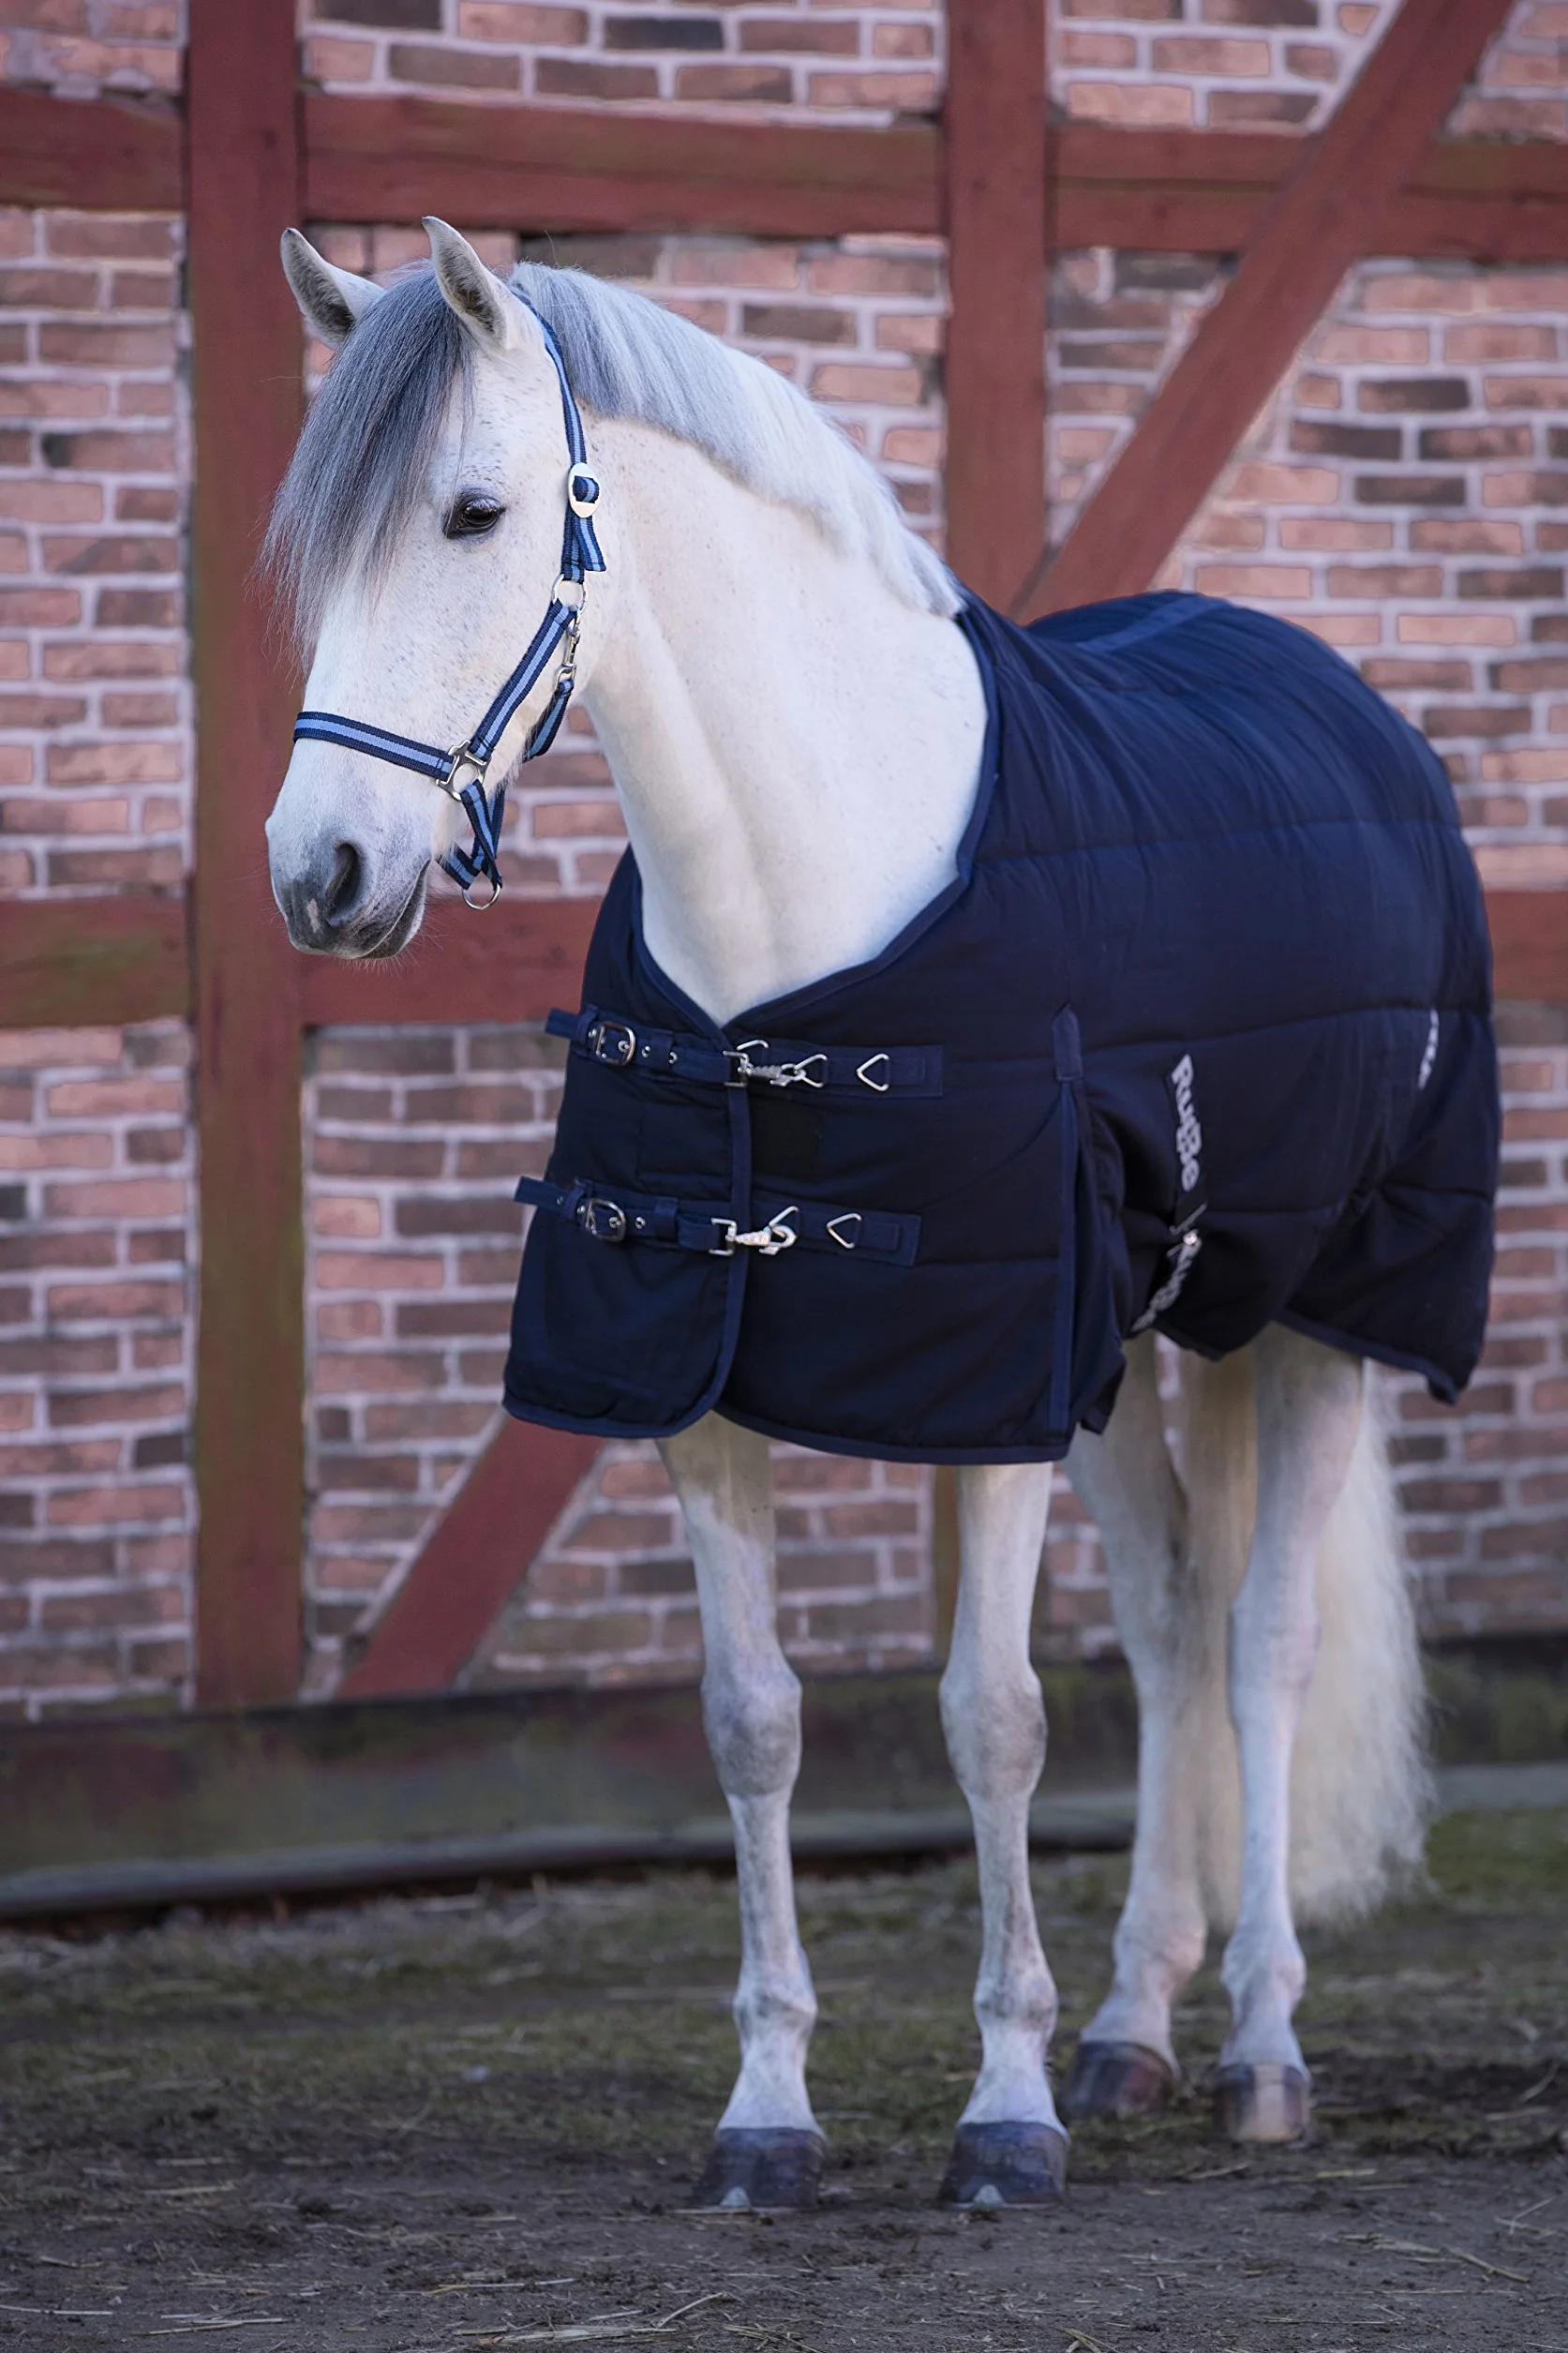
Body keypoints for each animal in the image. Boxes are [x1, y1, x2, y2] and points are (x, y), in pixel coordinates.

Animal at [262, 221, 1497, 2212]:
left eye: (472, 510)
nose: (325, 875)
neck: (798, 909)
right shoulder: (693, 1390)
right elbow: (751, 1721)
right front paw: (767, 2113)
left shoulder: (981, 1395)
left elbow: (990, 1720)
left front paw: (1002, 2113)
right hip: (1122, 1344)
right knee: (1172, 1621)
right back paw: (1132, 2027)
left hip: (1316, 1322)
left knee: (1260, 1644)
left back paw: (1256, 2046)